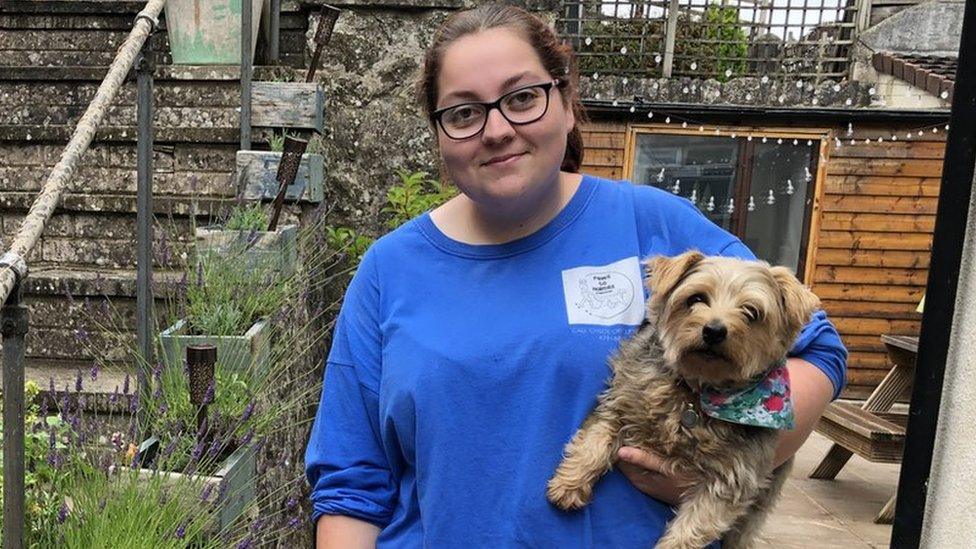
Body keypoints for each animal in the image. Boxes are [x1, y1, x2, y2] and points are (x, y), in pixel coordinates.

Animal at [544, 250, 820, 544]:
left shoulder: (733, 476)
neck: (695, 391)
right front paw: (568, 485)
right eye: (696, 299)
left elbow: (692, 527)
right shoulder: (618, 402)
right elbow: (594, 440)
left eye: (752, 312)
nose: (714, 330)